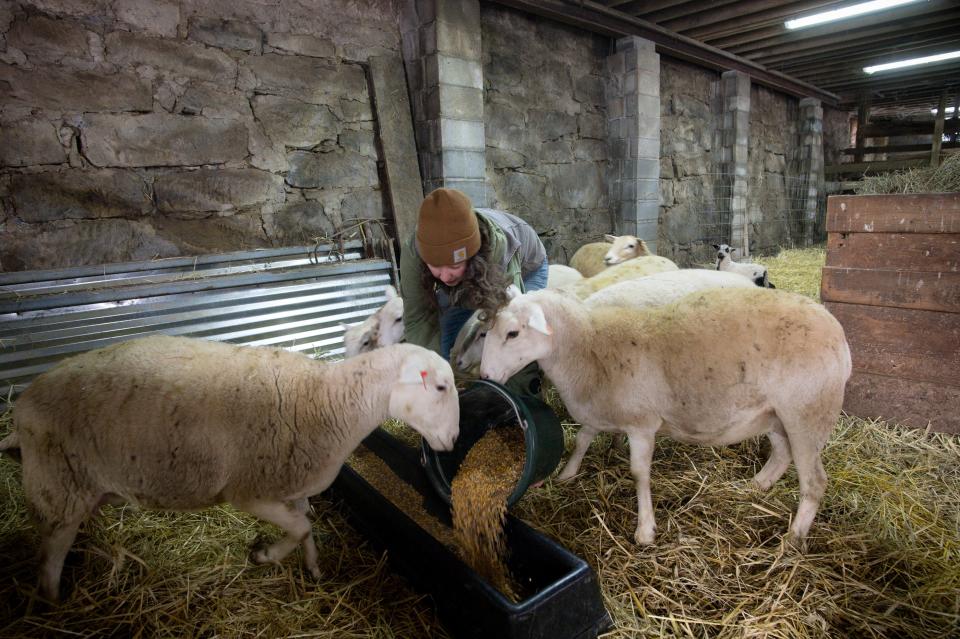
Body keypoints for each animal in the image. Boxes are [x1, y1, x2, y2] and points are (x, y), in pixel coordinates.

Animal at [0, 338, 460, 604]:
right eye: (439, 386)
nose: (454, 440)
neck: (328, 400)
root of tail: (22, 406)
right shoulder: (250, 491)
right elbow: (300, 528)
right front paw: (264, 555)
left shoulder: (293, 486)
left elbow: (306, 529)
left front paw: (313, 569)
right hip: (58, 491)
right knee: (48, 567)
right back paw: (56, 606)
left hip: (76, 489)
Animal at [484, 288, 852, 548]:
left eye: (513, 333)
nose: (485, 375)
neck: (590, 348)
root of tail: (837, 332)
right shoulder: (602, 409)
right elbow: (583, 438)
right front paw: (567, 474)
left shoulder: (641, 423)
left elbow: (638, 473)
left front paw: (645, 530)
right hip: (774, 414)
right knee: (781, 453)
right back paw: (754, 486)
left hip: (807, 413)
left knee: (814, 482)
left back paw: (793, 538)